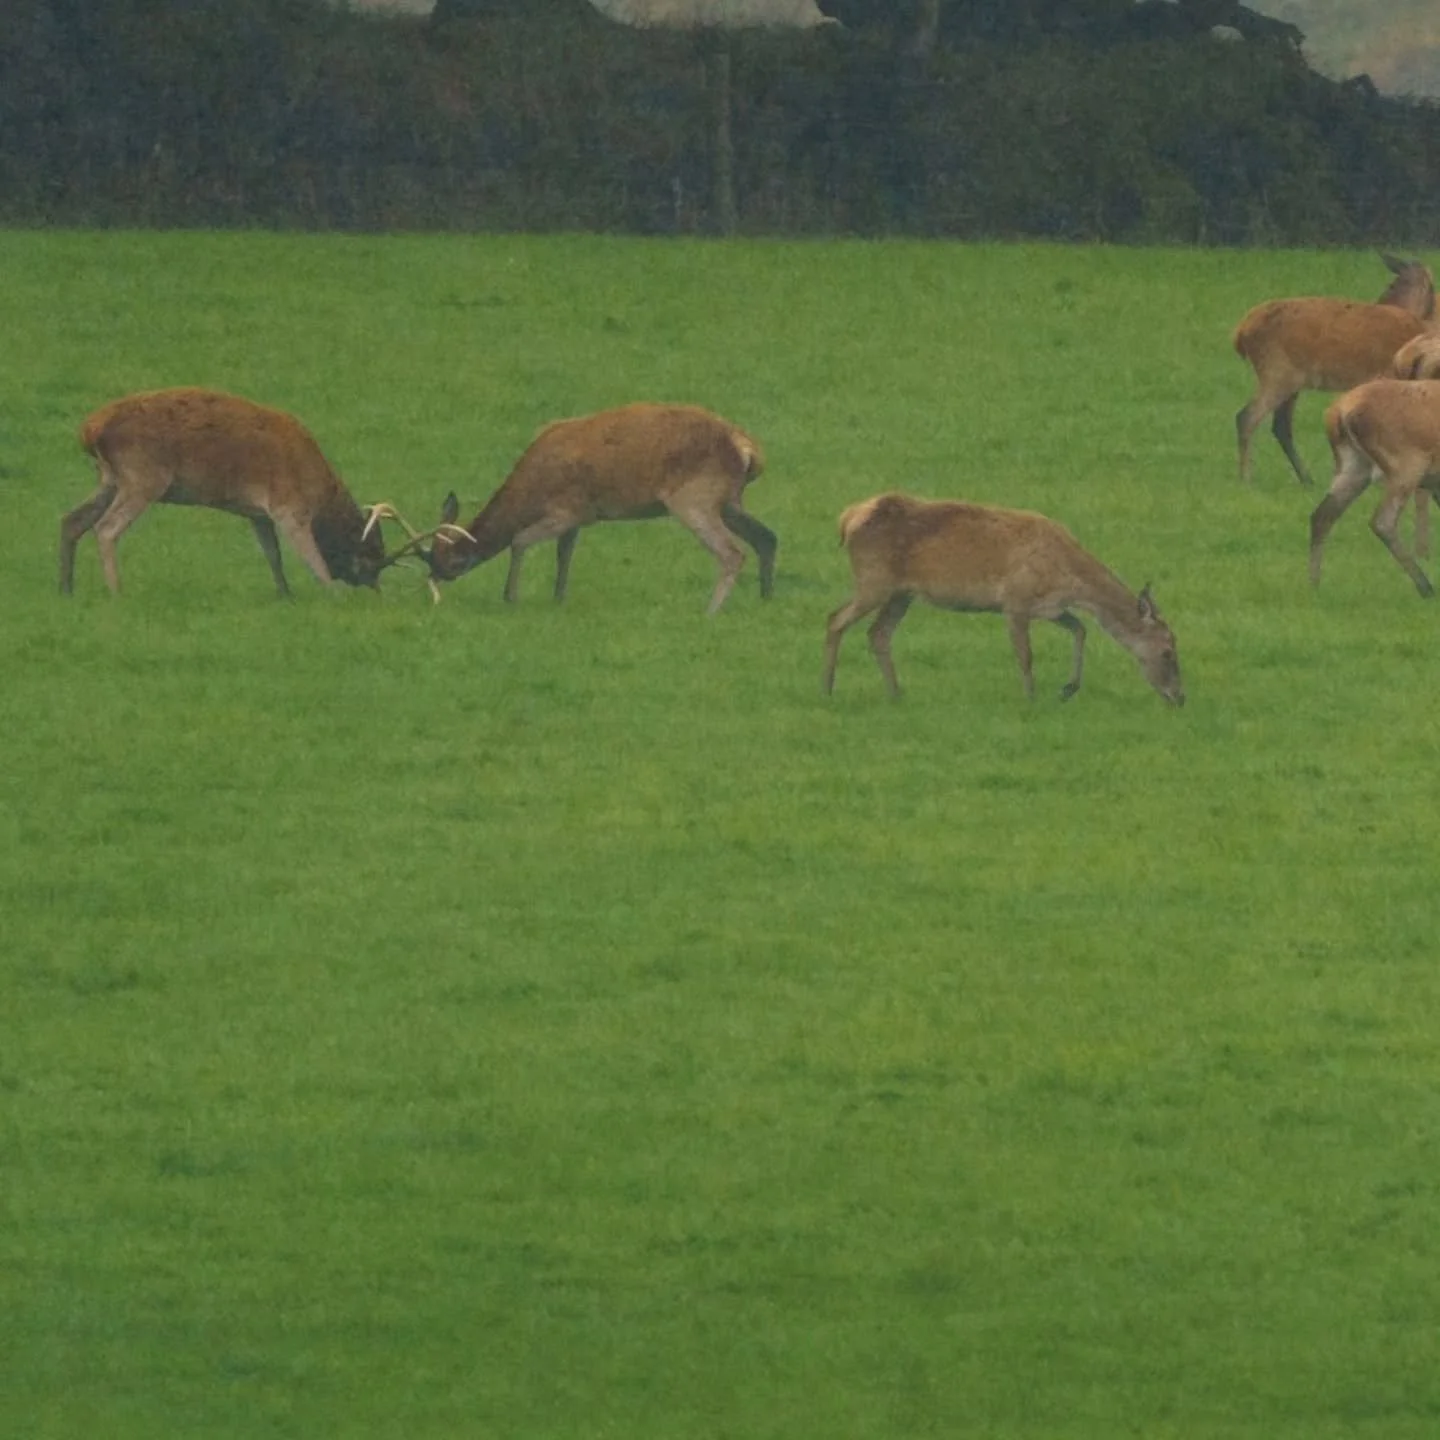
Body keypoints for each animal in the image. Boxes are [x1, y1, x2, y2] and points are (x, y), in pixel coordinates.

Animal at [60, 387, 397, 597]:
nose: (375, 589)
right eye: (372, 556)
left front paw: (285, 593)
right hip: (143, 476)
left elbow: (273, 554)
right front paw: (334, 594)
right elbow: (311, 558)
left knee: (72, 520)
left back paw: (65, 588)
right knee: (106, 528)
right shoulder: (288, 504)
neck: (318, 489)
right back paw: (116, 591)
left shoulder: (257, 513)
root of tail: (89, 430)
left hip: (110, 477)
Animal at [378, 402, 777, 614]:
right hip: (729, 500)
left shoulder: (567, 509)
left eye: (448, 565)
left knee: (731, 552)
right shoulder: (581, 518)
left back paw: (710, 611)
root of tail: (747, 448)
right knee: (768, 537)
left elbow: (520, 540)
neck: (533, 485)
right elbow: (564, 553)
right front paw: (558, 598)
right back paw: (765, 599)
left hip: (694, 496)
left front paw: (510, 597)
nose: (432, 590)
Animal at [822, 493, 1184, 706]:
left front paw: (1068, 688)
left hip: (902, 593)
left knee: (878, 633)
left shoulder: (1050, 608)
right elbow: (1025, 655)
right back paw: (827, 688)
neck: (1066, 575)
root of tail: (846, 519)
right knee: (835, 618)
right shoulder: (1015, 600)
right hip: (874, 580)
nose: (1180, 697)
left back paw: (896, 694)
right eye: (1167, 652)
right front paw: (1031, 698)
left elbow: (1080, 628)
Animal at [1233, 253, 1436, 488]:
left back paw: (1306, 478)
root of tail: (1240, 333)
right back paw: (1246, 477)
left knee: (1280, 426)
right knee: (1247, 417)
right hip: (1277, 372)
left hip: (1291, 381)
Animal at [1309, 379, 1440, 597]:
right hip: (1406, 466)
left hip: (1353, 466)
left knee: (1321, 515)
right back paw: (1425, 587)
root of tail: (1340, 410)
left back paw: (1314, 584)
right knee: (1382, 521)